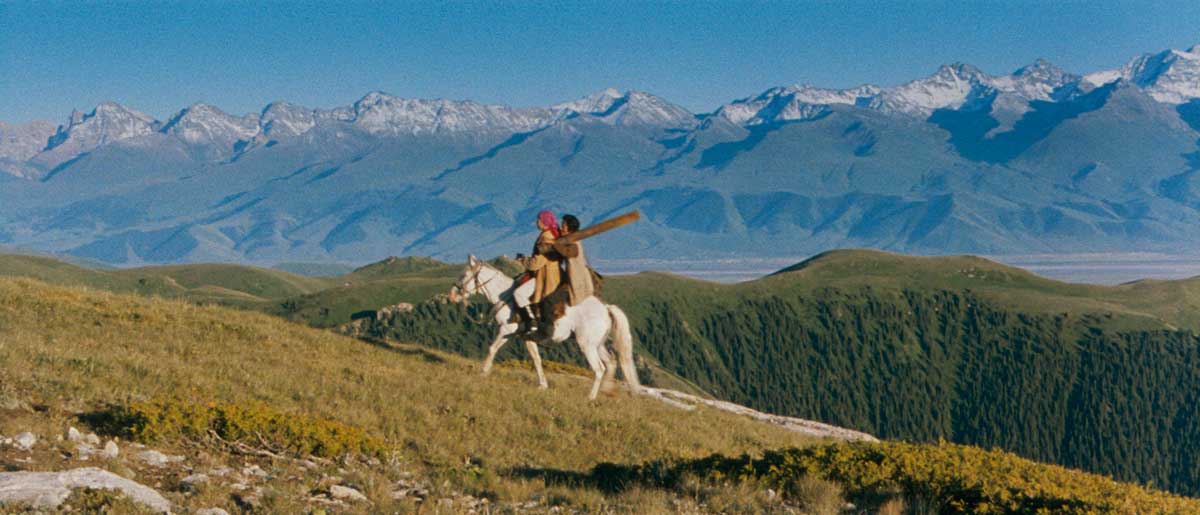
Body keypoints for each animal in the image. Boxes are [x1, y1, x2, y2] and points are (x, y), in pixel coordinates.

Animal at [448, 254, 638, 398]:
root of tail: (605, 309)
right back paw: (607, 391)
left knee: (599, 369)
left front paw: (484, 371)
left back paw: (590, 397)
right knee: (611, 362)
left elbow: (492, 348)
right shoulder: (526, 337)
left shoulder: (507, 330)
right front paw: (542, 385)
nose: (452, 295)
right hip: (597, 344)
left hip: (587, 345)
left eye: (464, 275)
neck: (506, 297)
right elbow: (536, 358)